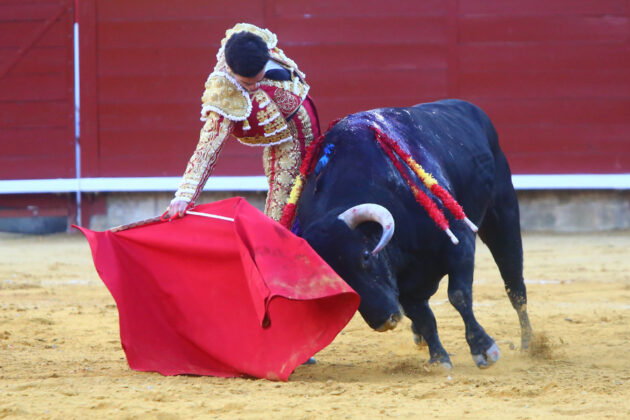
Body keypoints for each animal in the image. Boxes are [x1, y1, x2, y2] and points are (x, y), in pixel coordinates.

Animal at [296, 98, 532, 368]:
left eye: (365, 256)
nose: (383, 321)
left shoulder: (460, 242)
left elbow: (458, 295)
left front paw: (483, 349)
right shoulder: (404, 282)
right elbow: (423, 316)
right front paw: (439, 359)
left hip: (502, 213)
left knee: (514, 283)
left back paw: (528, 345)